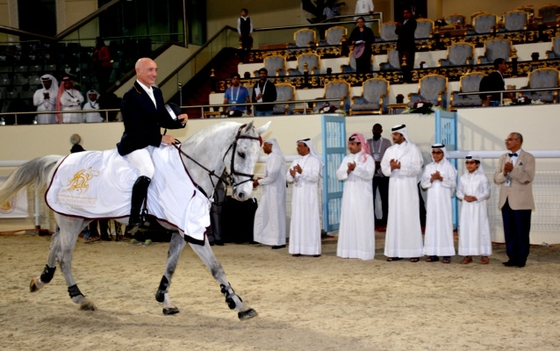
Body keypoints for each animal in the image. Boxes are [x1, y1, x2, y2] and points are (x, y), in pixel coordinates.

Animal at [0, 121, 270, 322]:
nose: (243, 195)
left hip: (77, 219)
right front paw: (240, 305)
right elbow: (216, 268)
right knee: (64, 257)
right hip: (71, 221)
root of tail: (59, 160)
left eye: (258, 154)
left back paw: (41, 280)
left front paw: (164, 300)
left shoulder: (181, 230)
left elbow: (170, 266)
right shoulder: (193, 233)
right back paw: (81, 299)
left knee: (54, 244)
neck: (190, 170)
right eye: (242, 153)